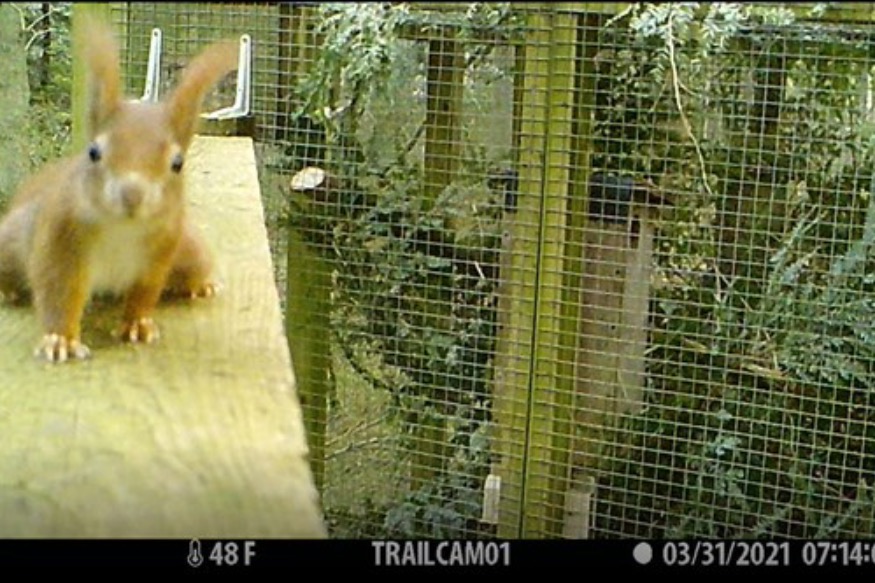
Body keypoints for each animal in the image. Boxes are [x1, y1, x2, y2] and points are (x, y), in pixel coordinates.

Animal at [0, 17, 239, 363]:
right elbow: (57, 291)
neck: (121, 229)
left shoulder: (161, 249)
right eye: (93, 152)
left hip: (189, 248)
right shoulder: (59, 241)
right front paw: (60, 340)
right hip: (10, 241)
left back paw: (201, 285)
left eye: (177, 163)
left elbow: (144, 293)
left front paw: (137, 324)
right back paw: (6, 289)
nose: (132, 195)